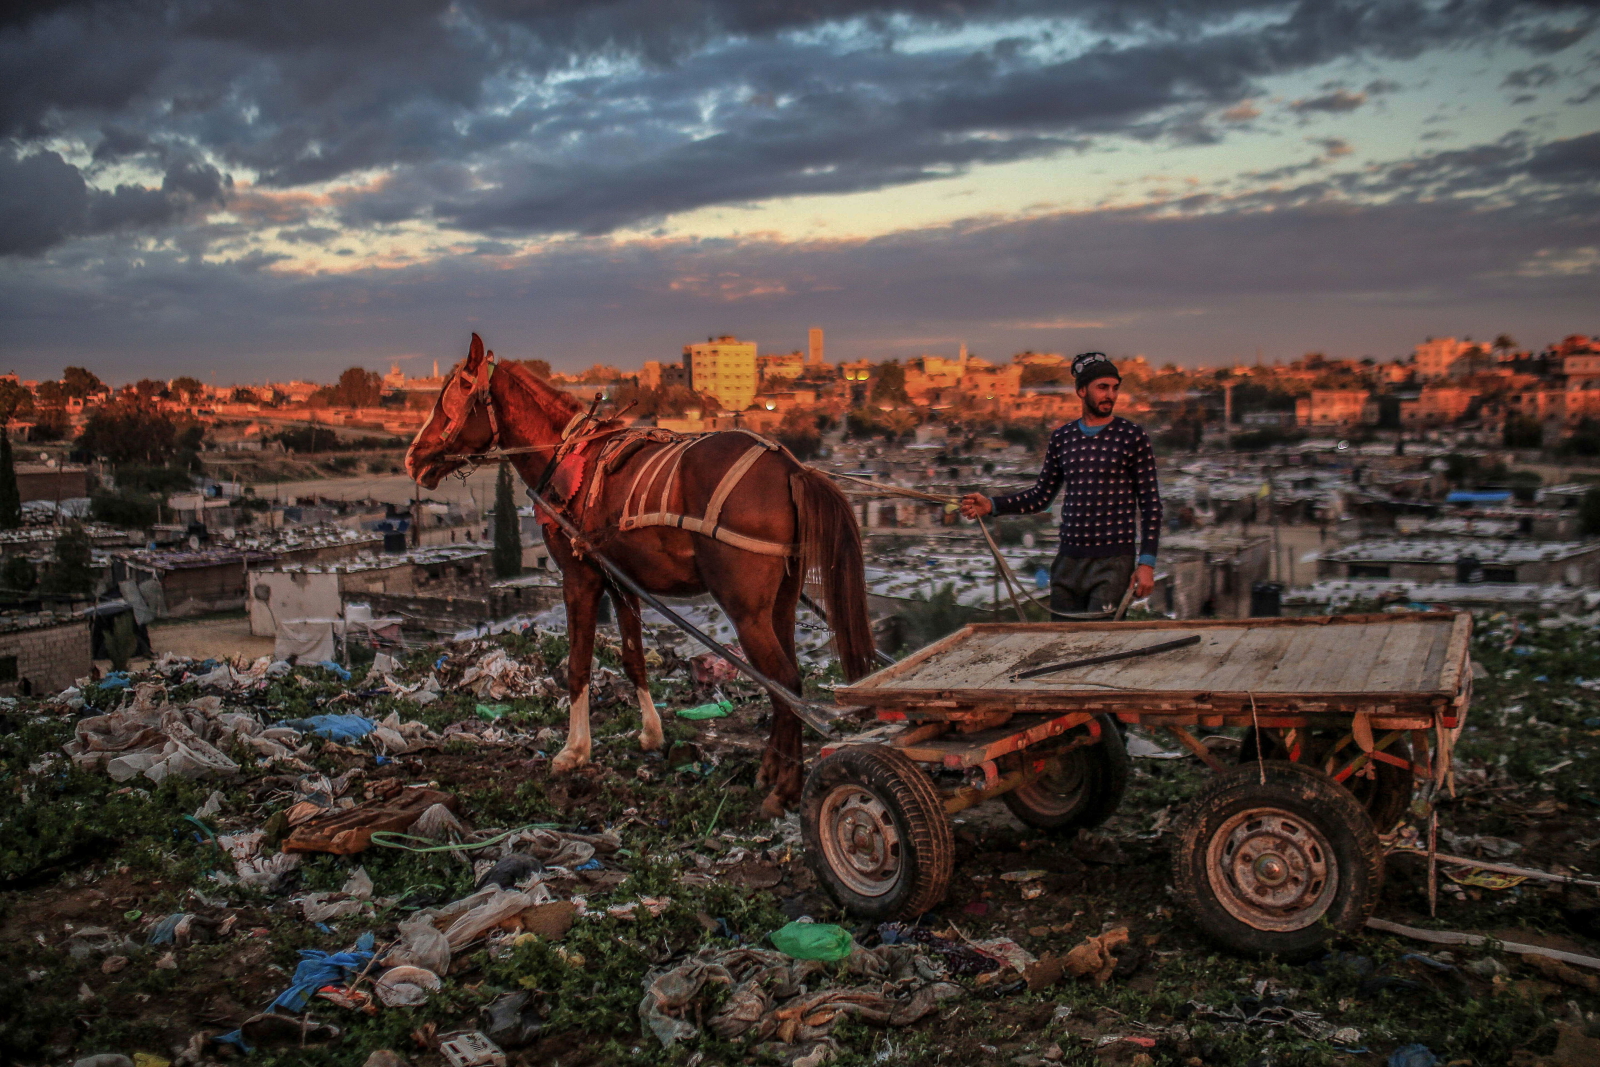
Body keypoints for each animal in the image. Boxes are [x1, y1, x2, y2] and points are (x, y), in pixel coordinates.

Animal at [403, 337, 876, 812]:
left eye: (456, 395)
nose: (413, 458)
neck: (567, 454)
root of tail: (792, 469)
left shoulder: (580, 577)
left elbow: (578, 664)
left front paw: (574, 751)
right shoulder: (621, 580)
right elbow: (634, 660)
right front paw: (651, 733)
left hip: (746, 610)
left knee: (786, 680)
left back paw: (786, 790)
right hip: (781, 601)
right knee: (785, 680)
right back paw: (770, 771)